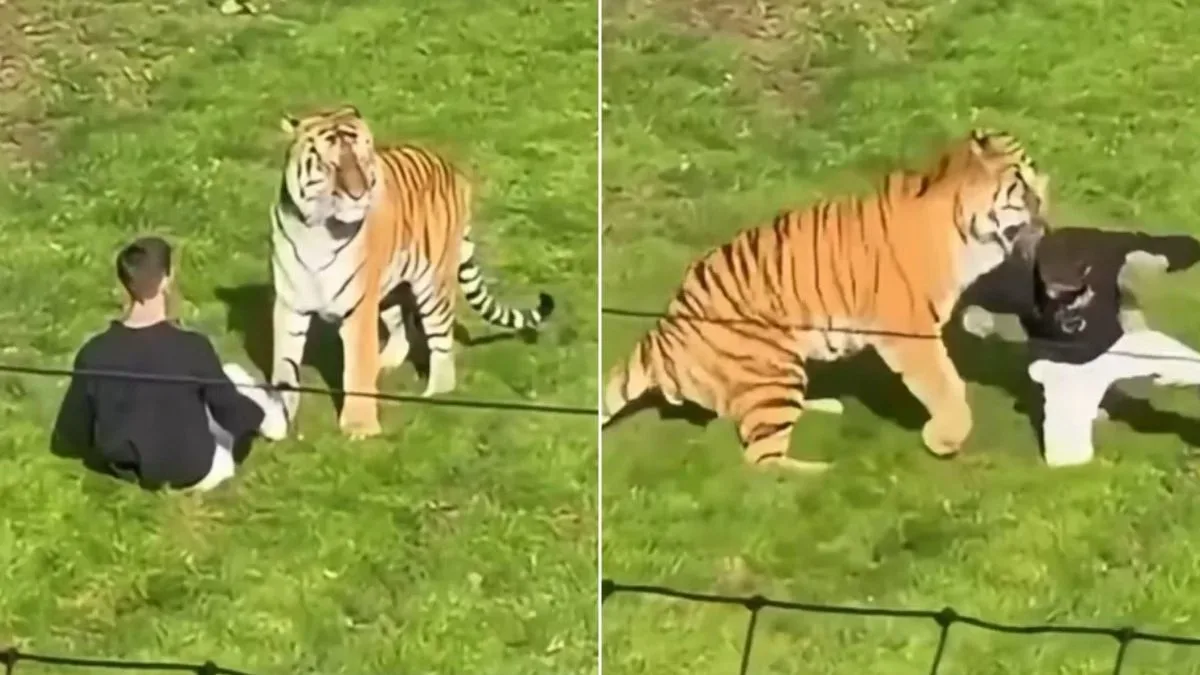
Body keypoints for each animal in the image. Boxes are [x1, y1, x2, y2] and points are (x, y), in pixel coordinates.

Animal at [270, 105, 555, 439]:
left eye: (363, 159)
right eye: (332, 164)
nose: (359, 194)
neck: (317, 230)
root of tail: (453, 170)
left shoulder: (358, 307)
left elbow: (357, 369)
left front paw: (360, 428)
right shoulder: (290, 304)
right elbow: (283, 365)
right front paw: (277, 418)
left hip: (433, 286)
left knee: (441, 344)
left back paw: (434, 395)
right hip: (391, 288)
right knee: (401, 331)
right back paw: (384, 363)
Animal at [602, 129, 1050, 472]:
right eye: (1023, 187)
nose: (1046, 210)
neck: (965, 233)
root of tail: (661, 332)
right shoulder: (910, 332)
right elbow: (944, 383)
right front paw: (945, 439)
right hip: (772, 367)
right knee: (762, 461)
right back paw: (826, 471)